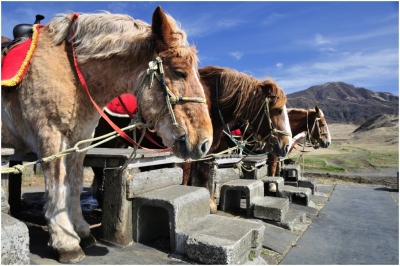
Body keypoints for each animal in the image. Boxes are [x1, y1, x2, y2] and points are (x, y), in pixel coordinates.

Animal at [1, 7, 214, 262]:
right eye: (180, 72)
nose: (205, 143)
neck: (71, 73)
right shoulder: (51, 139)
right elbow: (58, 188)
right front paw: (65, 242)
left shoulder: (78, 143)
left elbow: (73, 186)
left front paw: (81, 232)